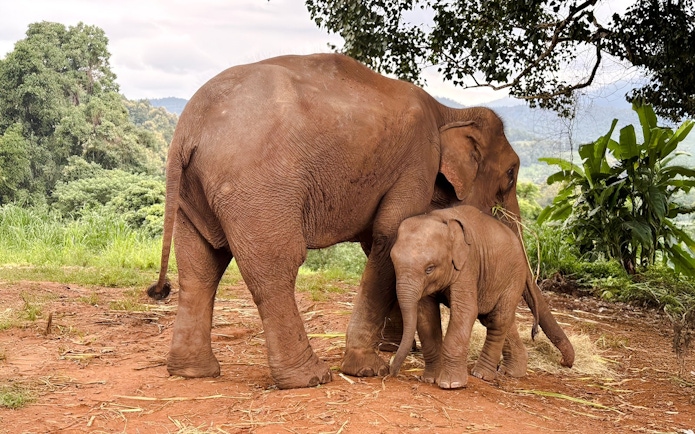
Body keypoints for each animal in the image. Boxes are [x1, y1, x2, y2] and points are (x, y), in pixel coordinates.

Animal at [389, 205, 537, 389]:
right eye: (393, 263)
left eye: (429, 269)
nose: (391, 372)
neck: (439, 218)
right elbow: (425, 314)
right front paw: (430, 379)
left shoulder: (468, 264)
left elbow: (465, 310)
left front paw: (451, 384)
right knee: (498, 319)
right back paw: (513, 372)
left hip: (514, 277)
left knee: (498, 320)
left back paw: (482, 375)